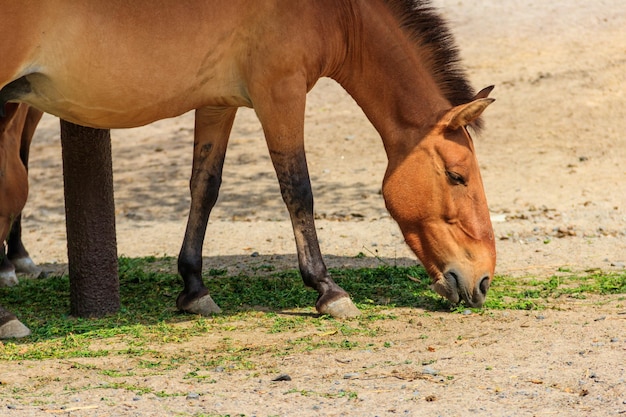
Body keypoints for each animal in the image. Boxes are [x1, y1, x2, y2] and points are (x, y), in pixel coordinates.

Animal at [1, 0, 498, 324]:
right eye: (456, 176)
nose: (483, 280)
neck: (336, 10)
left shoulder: (217, 104)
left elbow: (205, 186)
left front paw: (194, 288)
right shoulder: (280, 93)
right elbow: (298, 190)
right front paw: (328, 290)